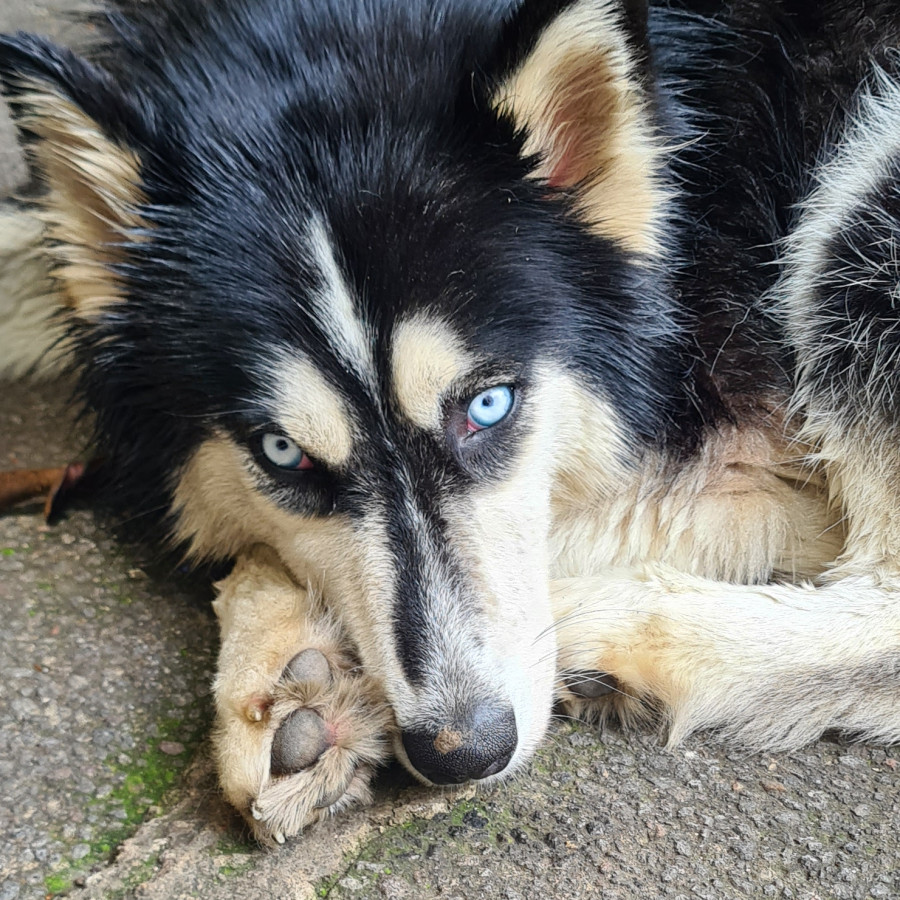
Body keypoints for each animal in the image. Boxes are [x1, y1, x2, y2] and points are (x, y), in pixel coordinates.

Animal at [1, 0, 900, 844]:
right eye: (284, 453)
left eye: (487, 406)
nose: (463, 751)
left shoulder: (745, 449)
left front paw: (291, 649)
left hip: (857, 216)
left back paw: (627, 631)